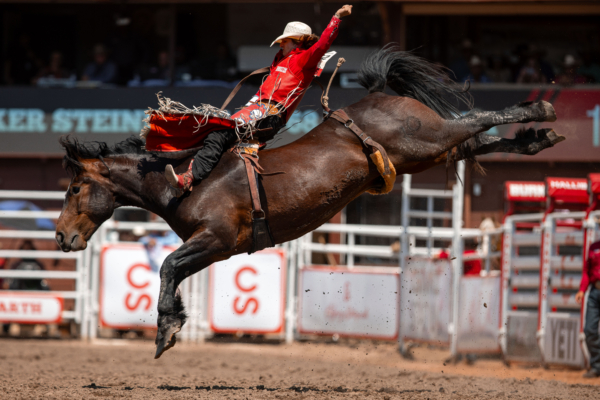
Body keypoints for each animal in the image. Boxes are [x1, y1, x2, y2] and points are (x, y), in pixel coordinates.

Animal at [54, 47, 563, 359]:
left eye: (74, 189)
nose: (61, 235)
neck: (186, 179)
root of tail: (380, 95)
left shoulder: (215, 239)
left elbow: (166, 266)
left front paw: (165, 330)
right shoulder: (216, 248)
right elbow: (173, 272)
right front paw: (173, 324)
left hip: (428, 139)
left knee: (475, 119)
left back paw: (538, 109)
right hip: (431, 152)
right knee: (480, 139)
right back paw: (536, 138)